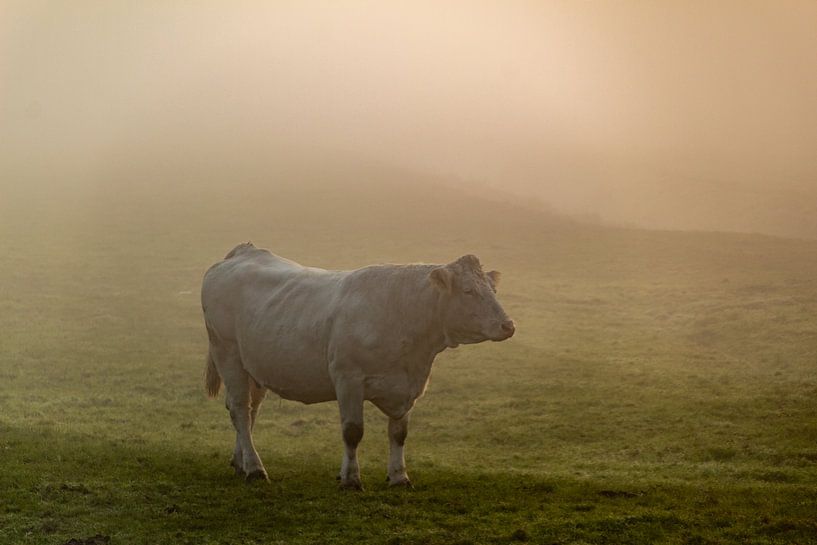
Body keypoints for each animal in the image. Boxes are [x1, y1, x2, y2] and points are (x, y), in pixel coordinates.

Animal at [201, 242, 512, 488]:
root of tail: (245, 251)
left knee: (249, 411)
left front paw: (399, 477)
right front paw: (351, 479)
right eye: (468, 291)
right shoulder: (348, 379)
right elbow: (352, 432)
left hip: (256, 367)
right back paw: (255, 469)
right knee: (240, 409)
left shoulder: (408, 386)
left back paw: (241, 461)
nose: (507, 325)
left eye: (494, 289)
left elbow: (399, 434)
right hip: (227, 353)